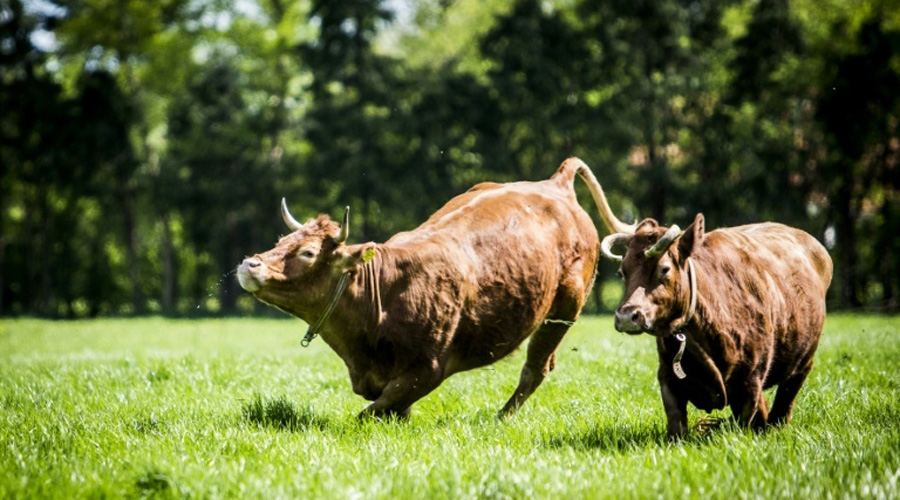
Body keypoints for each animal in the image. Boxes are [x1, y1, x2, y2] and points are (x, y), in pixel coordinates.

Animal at [239, 157, 632, 418]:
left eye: (307, 252)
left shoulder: (428, 369)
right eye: (282, 240)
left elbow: (370, 412)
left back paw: (500, 417)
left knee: (535, 367)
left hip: (564, 310)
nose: (249, 264)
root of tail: (555, 184)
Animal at [600, 215, 832, 438]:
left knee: (784, 403)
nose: (627, 316)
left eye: (664, 269)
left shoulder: (750, 381)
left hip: (803, 363)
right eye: (622, 272)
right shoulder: (667, 378)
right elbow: (676, 427)